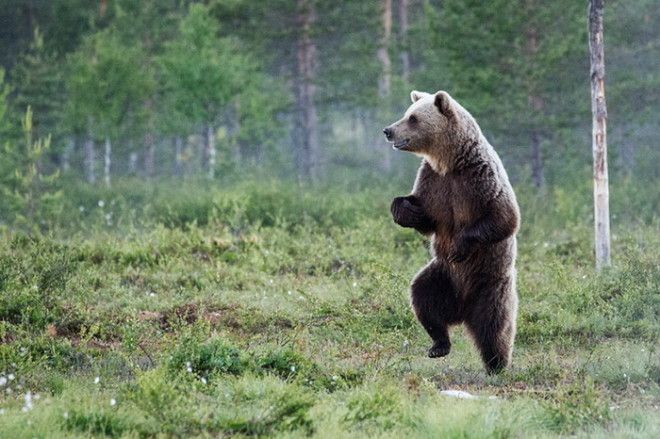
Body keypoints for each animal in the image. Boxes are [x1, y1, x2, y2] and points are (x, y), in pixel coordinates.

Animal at [382, 91, 520, 372]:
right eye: (407, 113)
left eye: (412, 118)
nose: (388, 130)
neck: (449, 162)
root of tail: (463, 311)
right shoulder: (433, 182)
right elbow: (426, 216)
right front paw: (404, 209)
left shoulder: (479, 179)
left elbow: (504, 217)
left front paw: (459, 246)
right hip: (442, 276)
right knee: (422, 298)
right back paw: (438, 345)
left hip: (490, 285)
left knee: (495, 327)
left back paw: (497, 365)